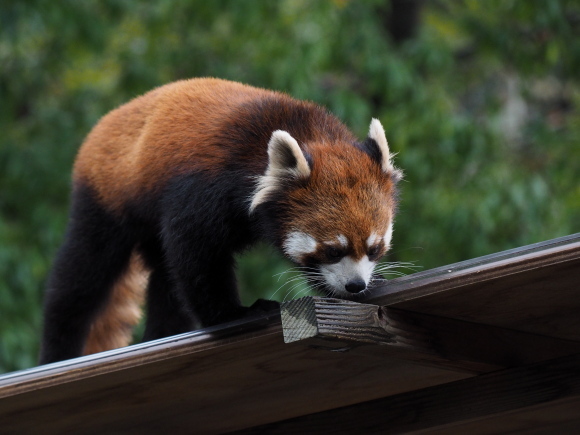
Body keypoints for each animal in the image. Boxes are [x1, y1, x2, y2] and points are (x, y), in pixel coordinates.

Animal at [39, 77, 404, 364]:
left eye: (373, 249)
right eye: (332, 250)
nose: (355, 285)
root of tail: (110, 119)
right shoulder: (204, 187)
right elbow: (197, 257)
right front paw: (233, 313)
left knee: (164, 282)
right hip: (106, 196)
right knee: (83, 276)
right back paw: (58, 350)